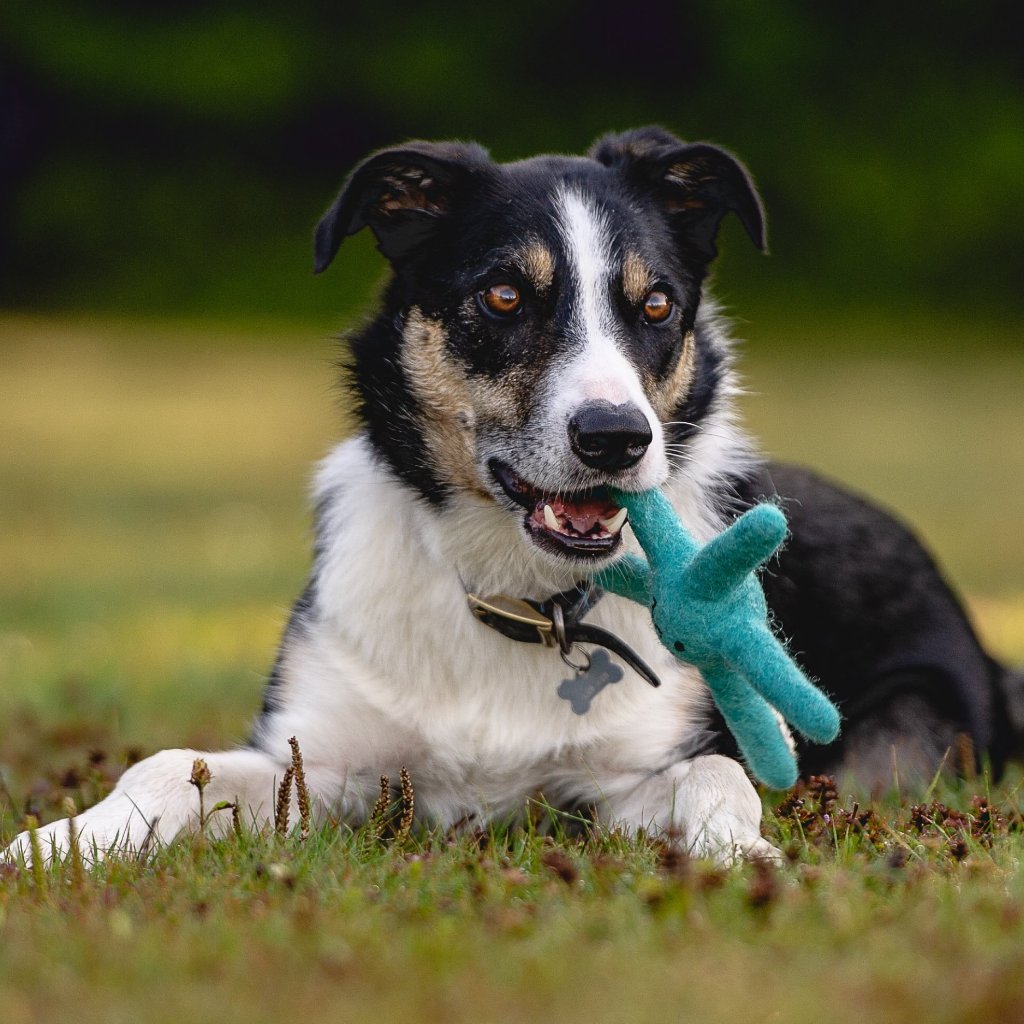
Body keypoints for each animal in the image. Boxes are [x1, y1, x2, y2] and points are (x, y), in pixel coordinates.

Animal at [4, 125, 1019, 864]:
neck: (522, 601)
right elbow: (168, 766)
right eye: (501, 297)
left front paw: (738, 855)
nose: (616, 438)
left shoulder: (621, 783)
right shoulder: (322, 764)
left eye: (656, 307)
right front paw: (57, 845)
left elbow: (717, 777)